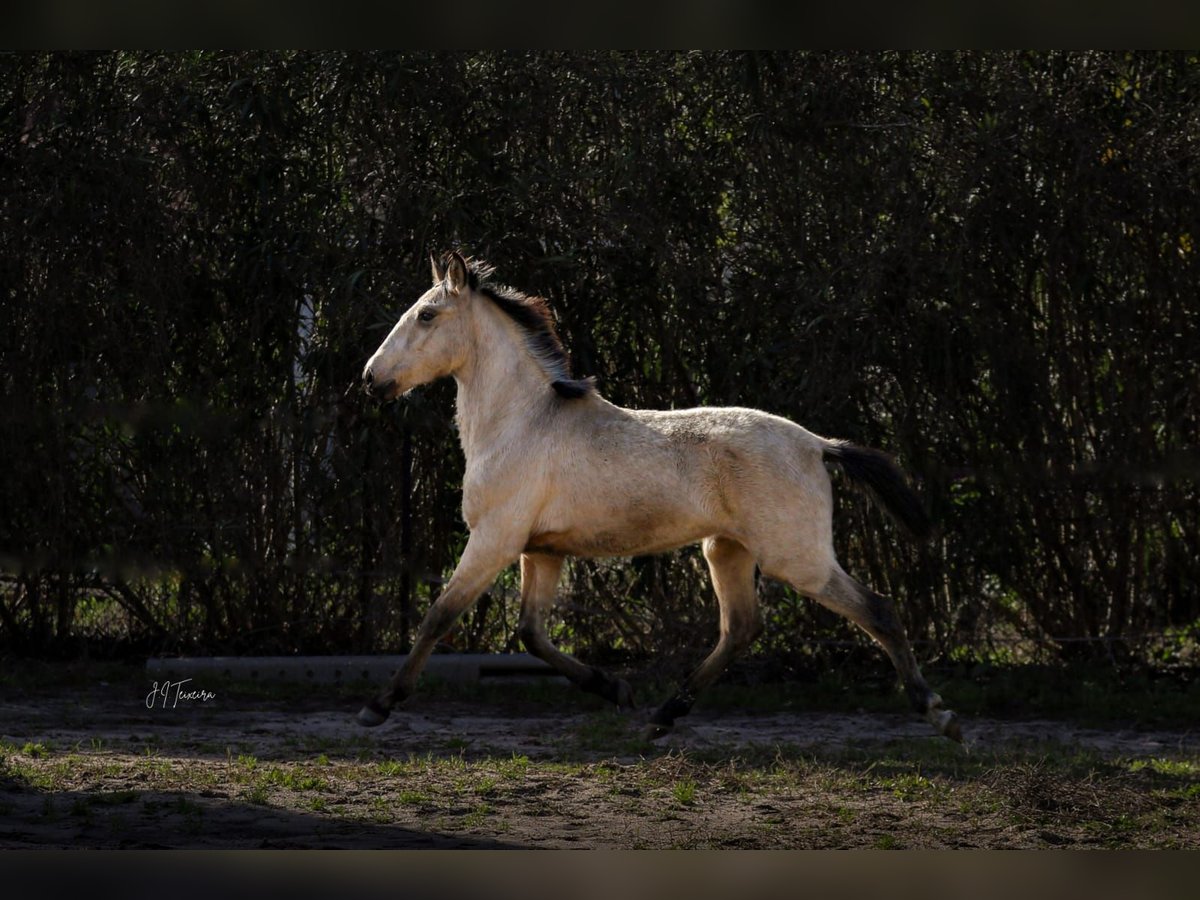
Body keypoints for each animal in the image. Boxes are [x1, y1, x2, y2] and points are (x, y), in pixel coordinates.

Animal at [357, 250, 964, 744]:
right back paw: (661, 717)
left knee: (877, 610)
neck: (523, 423)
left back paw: (939, 714)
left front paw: (378, 705)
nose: (370, 379)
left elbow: (439, 615)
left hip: (797, 558)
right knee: (741, 628)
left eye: (427, 315)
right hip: (726, 551)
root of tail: (818, 445)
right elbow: (531, 634)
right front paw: (616, 689)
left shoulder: (495, 540)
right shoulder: (542, 551)